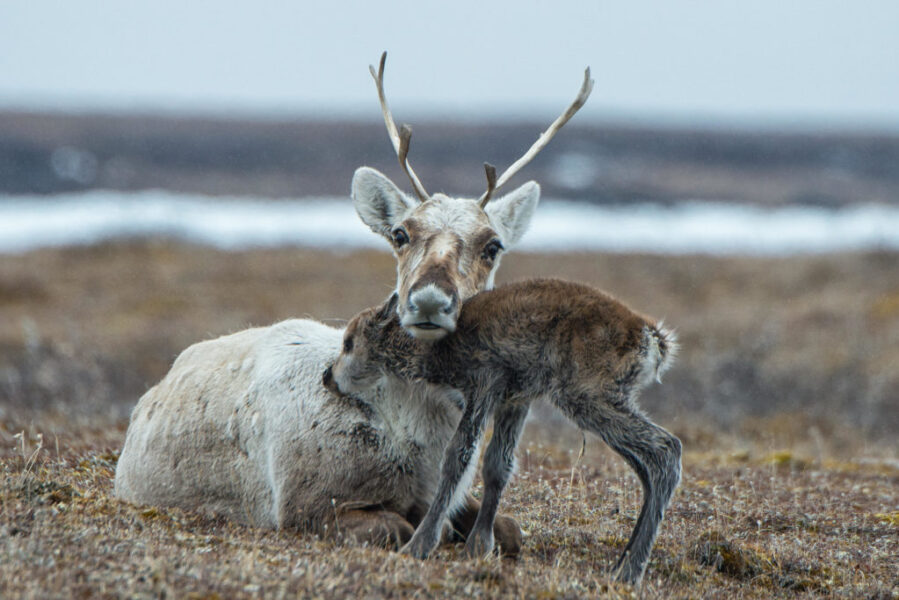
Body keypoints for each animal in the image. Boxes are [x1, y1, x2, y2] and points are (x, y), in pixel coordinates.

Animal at [326, 278, 684, 584]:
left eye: (349, 342)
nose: (327, 376)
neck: (437, 347)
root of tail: (653, 339)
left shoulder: (484, 385)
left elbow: (457, 459)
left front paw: (419, 545)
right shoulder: (515, 399)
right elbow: (497, 465)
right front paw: (479, 546)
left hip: (588, 396)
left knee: (667, 449)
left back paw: (630, 571)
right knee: (646, 467)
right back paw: (623, 562)